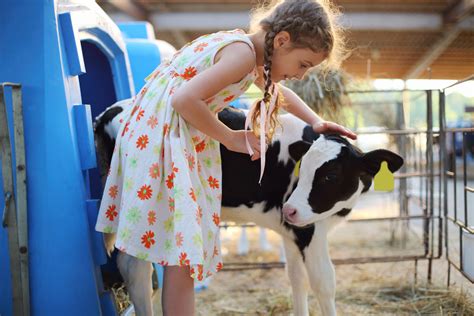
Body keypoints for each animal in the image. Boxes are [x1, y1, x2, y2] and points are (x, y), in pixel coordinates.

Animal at [95, 102, 404, 314]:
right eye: (304, 170)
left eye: (331, 175)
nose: (290, 208)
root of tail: (112, 110)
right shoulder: (309, 230)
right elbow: (323, 283)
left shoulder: (292, 230)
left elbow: (297, 279)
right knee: (135, 269)